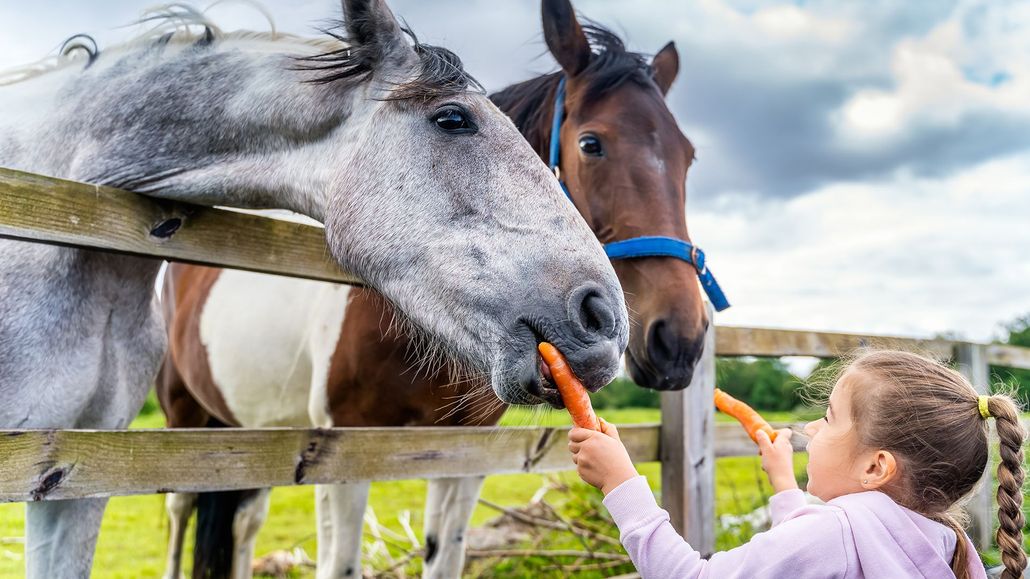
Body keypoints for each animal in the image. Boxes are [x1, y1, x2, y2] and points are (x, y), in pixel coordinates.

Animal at [157, 0, 725, 577]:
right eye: (592, 144)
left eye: (689, 157)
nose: (679, 340)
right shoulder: (341, 450)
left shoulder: (463, 454)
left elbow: (444, 553)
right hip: (187, 417)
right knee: (182, 510)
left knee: (243, 522)